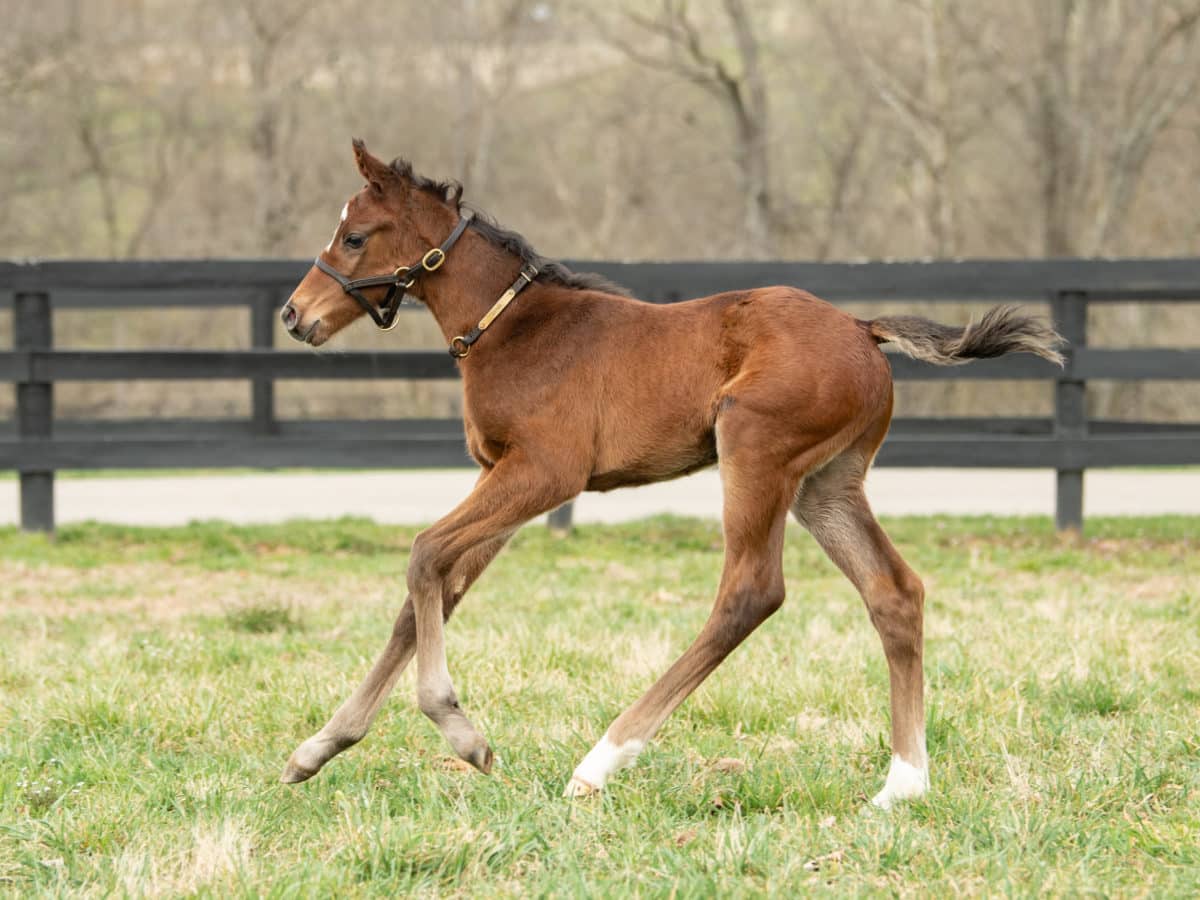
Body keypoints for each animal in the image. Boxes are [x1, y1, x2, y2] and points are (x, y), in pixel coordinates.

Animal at [278, 142, 1060, 811]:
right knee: (893, 592)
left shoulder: (545, 473)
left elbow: (423, 555)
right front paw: (318, 748)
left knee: (751, 592)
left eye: (356, 237)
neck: (513, 329)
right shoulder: (500, 475)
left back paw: (600, 763)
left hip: (755, 451)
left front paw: (461, 731)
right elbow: (432, 591)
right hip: (827, 485)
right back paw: (902, 785)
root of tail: (862, 330)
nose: (294, 314)